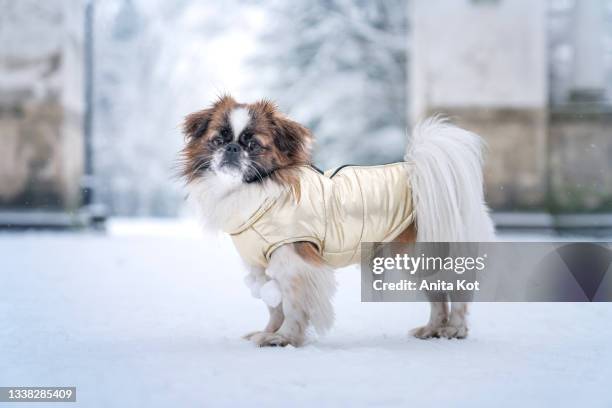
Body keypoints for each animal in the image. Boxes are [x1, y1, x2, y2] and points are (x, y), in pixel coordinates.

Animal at [179, 95, 494, 348]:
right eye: (218, 140)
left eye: (253, 145)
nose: (232, 149)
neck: (257, 191)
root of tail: (421, 174)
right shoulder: (264, 266)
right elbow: (274, 307)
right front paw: (268, 332)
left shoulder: (295, 262)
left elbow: (292, 306)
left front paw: (284, 338)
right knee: (438, 295)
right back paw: (432, 329)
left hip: (428, 250)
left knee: (457, 291)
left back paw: (455, 329)